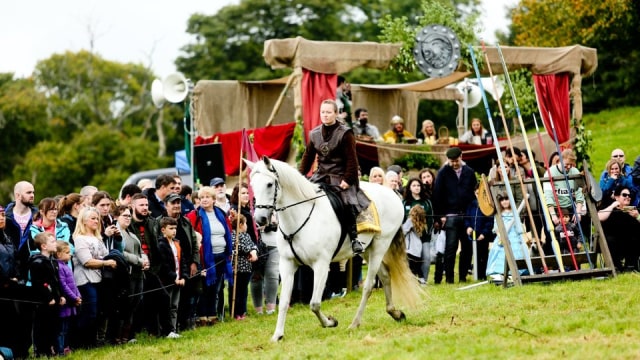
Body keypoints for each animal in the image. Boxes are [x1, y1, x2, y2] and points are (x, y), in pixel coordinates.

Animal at [245, 157, 420, 340]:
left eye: (269, 184)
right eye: (252, 184)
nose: (260, 219)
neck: (300, 216)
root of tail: (393, 194)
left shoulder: (321, 265)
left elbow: (314, 303)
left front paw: (330, 322)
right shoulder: (287, 264)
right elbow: (285, 302)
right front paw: (277, 335)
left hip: (380, 246)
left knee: (369, 285)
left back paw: (355, 323)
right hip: (367, 249)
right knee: (385, 276)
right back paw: (395, 313)